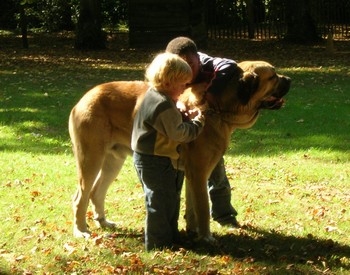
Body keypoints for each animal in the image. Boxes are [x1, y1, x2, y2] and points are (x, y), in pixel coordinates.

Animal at [67, 61, 290, 243]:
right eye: (272, 76)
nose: (289, 79)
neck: (218, 109)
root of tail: (84, 98)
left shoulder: (195, 175)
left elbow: (193, 208)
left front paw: (194, 232)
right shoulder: (198, 173)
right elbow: (203, 208)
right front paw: (207, 237)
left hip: (113, 161)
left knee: (96, 192)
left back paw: (103, 222)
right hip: (90, 160)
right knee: (80, 197)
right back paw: (81, 230)